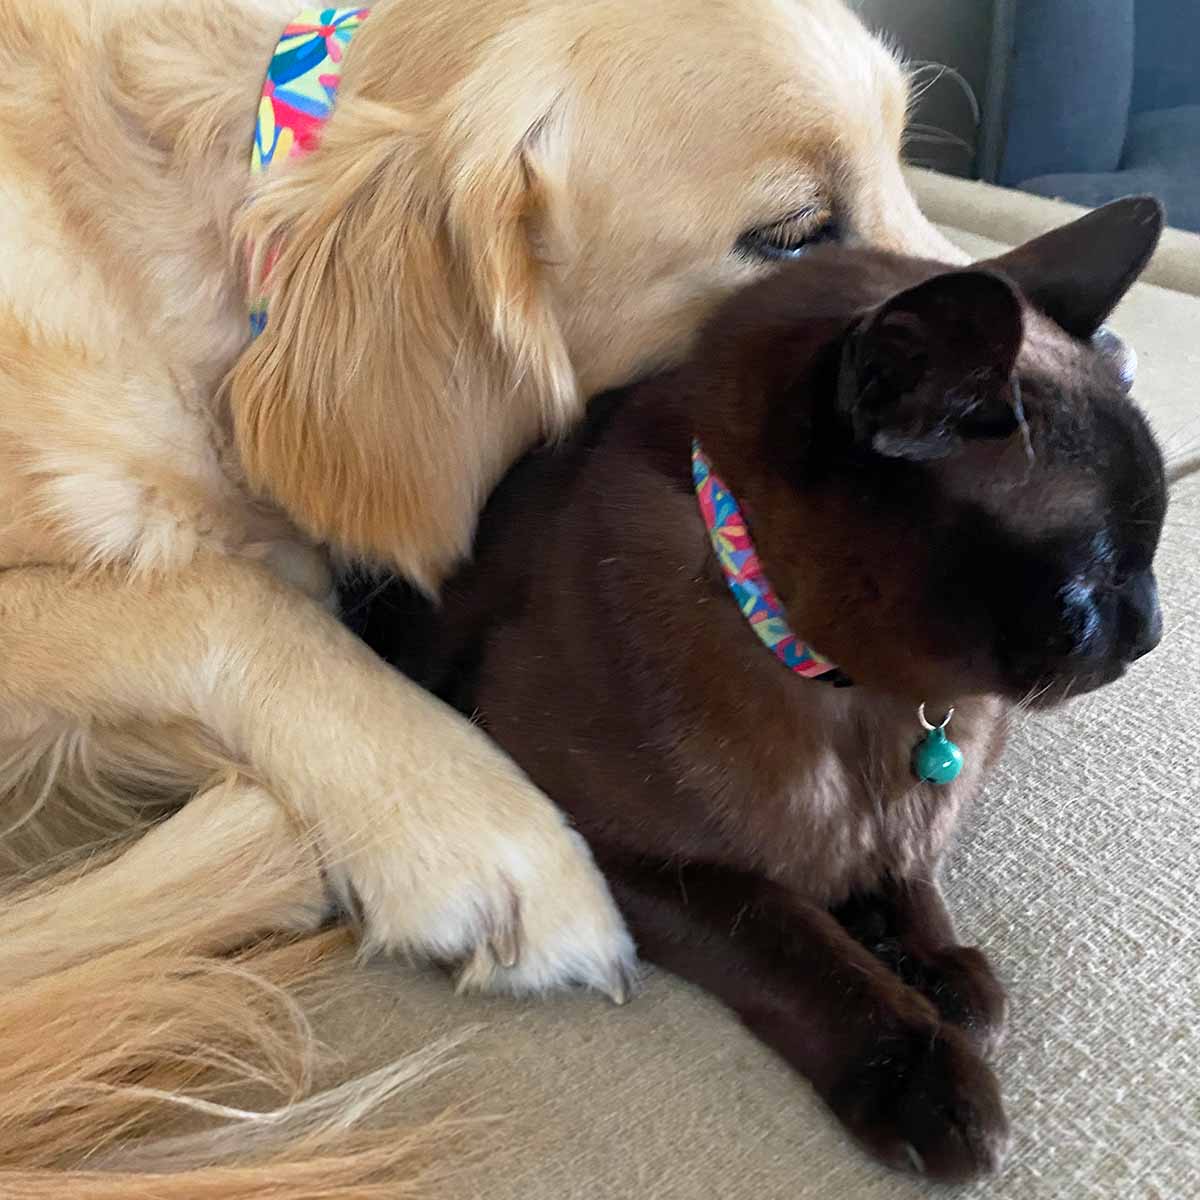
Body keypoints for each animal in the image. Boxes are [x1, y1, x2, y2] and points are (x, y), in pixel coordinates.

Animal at [345, 196, 1161, 1180]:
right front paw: (926, 1073)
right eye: (1094, 578)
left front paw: (941, 973)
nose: (1154, 633)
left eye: (1152, 553)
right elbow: (796, 942)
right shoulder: (641, 859)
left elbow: (908, 879)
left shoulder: (899, 822)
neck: (861, 699)